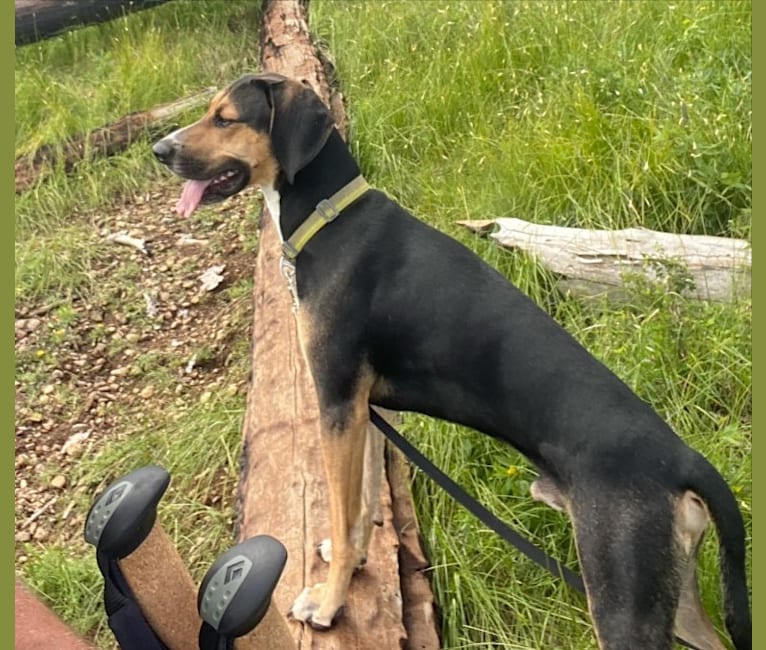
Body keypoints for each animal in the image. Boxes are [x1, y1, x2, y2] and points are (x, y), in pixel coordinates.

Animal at [153, 72, 752, 648]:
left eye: (226, 118)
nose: (159, 149)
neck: (329, 218)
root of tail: (684, 460)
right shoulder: (366, 413)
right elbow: (362, 507)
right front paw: (359, 563)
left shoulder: (337, 402)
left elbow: (344, 513)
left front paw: (328, 603)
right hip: (669, 596)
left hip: (624, 600)